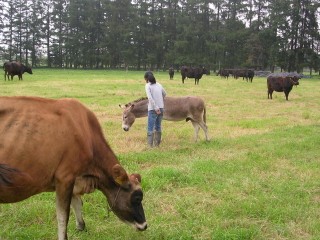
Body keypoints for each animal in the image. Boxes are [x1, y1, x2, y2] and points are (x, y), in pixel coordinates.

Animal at [0, 96, 148, 240]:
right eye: (137, 198)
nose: (145, 225)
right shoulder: (65, 177)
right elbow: (63, 217)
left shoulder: (75, 179)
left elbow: (77, 203)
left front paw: (81, 227)